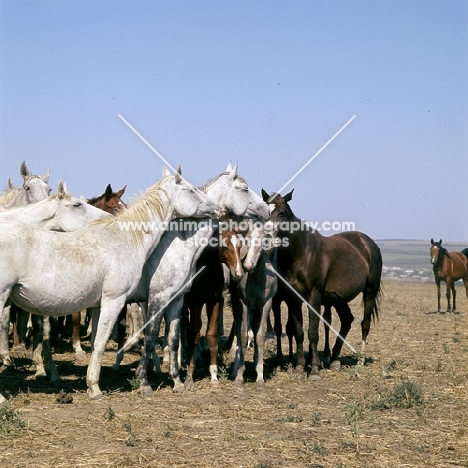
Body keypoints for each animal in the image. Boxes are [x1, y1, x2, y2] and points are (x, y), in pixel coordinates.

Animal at [0, 166, 218, 400]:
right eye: (191, 190)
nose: (215, 207)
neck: (127, 239)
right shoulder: (118, 301)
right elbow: (104, 341)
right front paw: (97, 388)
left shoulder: (104, 304)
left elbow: (100, 339)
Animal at [262, 189, 382, 380]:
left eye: (281, 213)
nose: (266, 238)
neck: (302, 253)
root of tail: (368, 244)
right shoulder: (294, 298)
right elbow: (298, 331)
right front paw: (299, 365)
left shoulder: (314, 295)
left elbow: (312, 332)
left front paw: (314, 369)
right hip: (339, 299)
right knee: (347, 320)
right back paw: (334, 360)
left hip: (370, 291)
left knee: (365, 323)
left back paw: (360, 360)